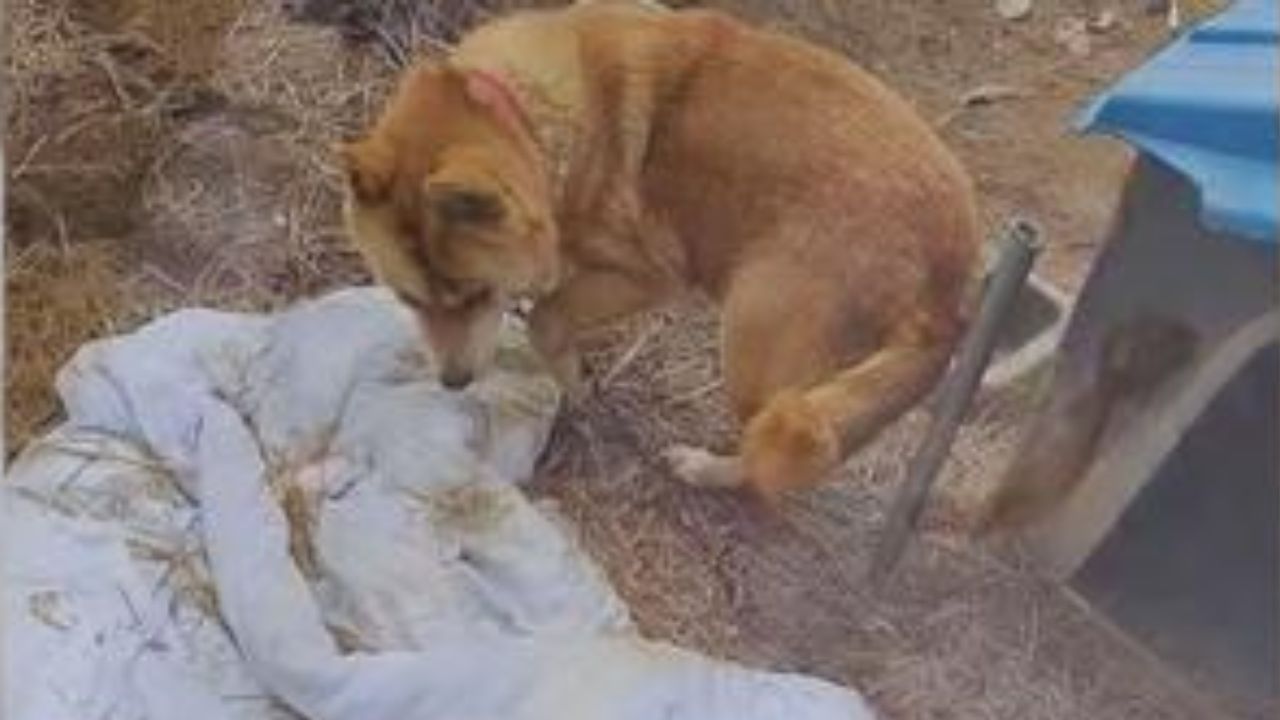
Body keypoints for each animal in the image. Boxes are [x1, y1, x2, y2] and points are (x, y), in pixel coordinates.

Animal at [340, 2, 977, 497]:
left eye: (477, 293)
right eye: (408, 298)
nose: (452, 383)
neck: (530, 119)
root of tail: (951, 282)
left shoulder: (647, 275)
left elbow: (548, 316)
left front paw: (573, 383)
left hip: (751, 337)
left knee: (774, 452)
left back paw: (706, 469)